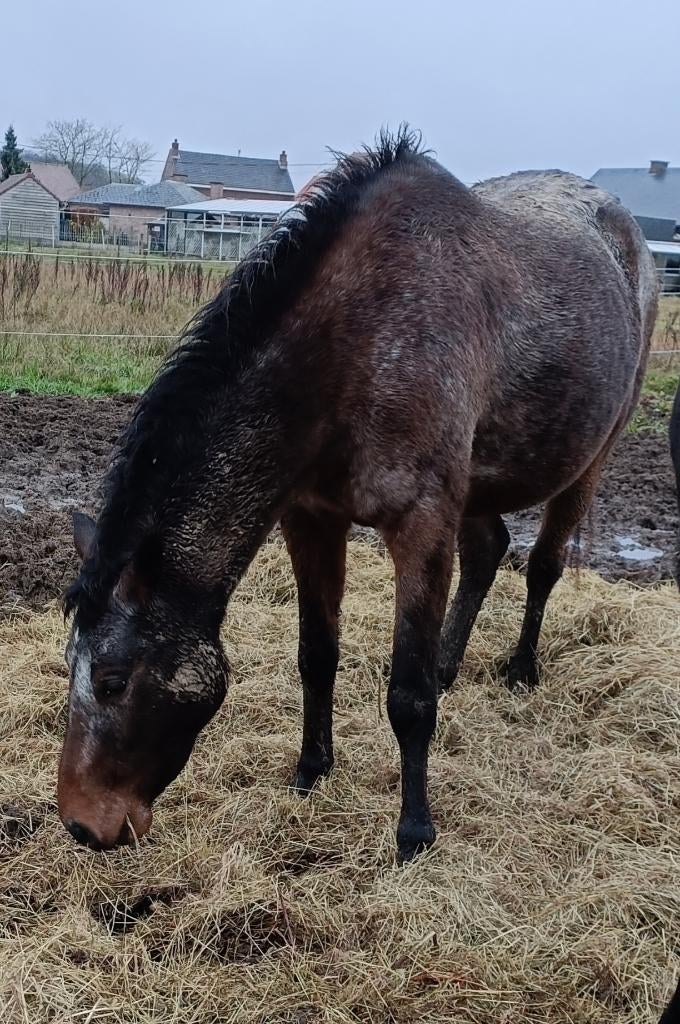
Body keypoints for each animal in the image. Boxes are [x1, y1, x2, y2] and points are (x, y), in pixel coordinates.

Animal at [58, 129, 658, 863]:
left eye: (114, 681)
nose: (82, 824)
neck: (357, 342)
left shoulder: (421, 526)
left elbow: (408, 698)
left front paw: (415, 831)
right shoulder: (312, 519)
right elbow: (317, 657)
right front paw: (311, 770)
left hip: (592, 456)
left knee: (543, 565)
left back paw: (520, 669)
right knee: (488, 553)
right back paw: (452, 664)